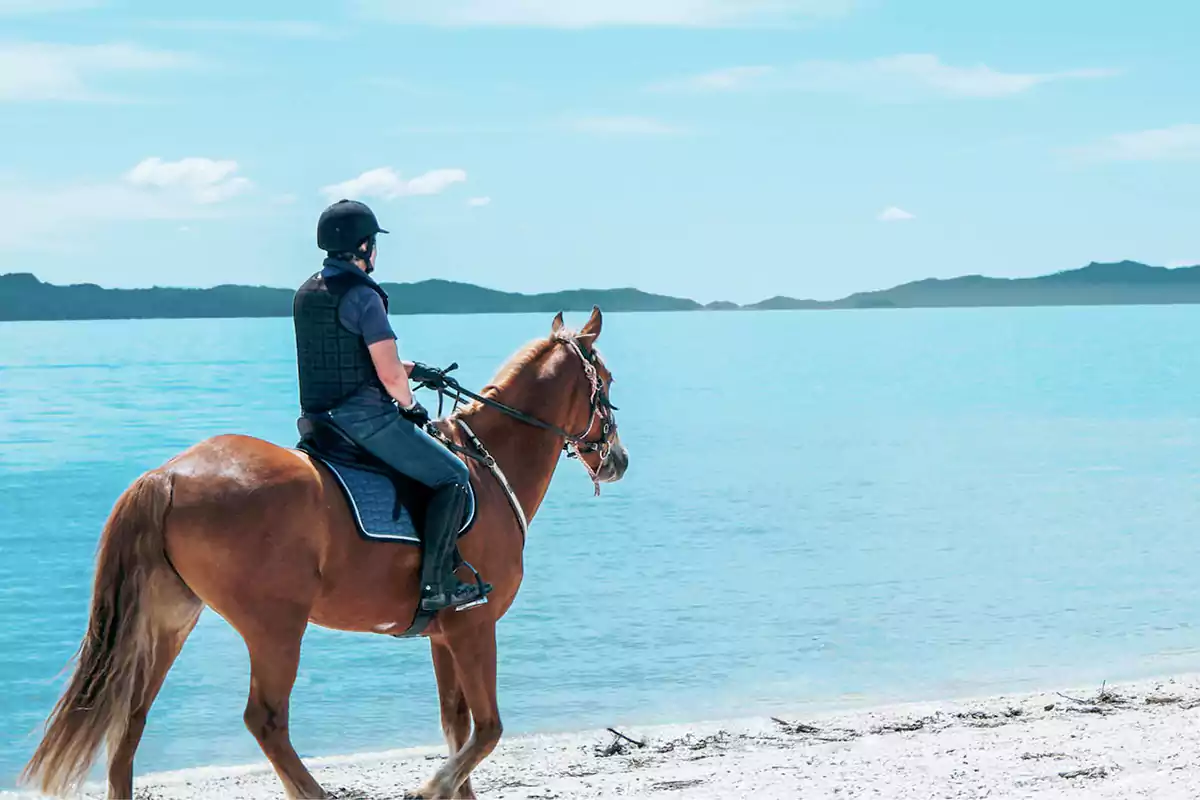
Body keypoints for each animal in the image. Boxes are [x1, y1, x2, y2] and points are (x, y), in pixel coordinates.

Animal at [20, 306, 628, 800]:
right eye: (606, 380)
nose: (617, 460)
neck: (485, 466)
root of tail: (167, 475)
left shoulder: (445, 634)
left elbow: (457, 726)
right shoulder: (473, 625)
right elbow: (488, 729)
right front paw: (430, 786)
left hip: (169, 620)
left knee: (132, 719)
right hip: (275, 626)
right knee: (265, 720)